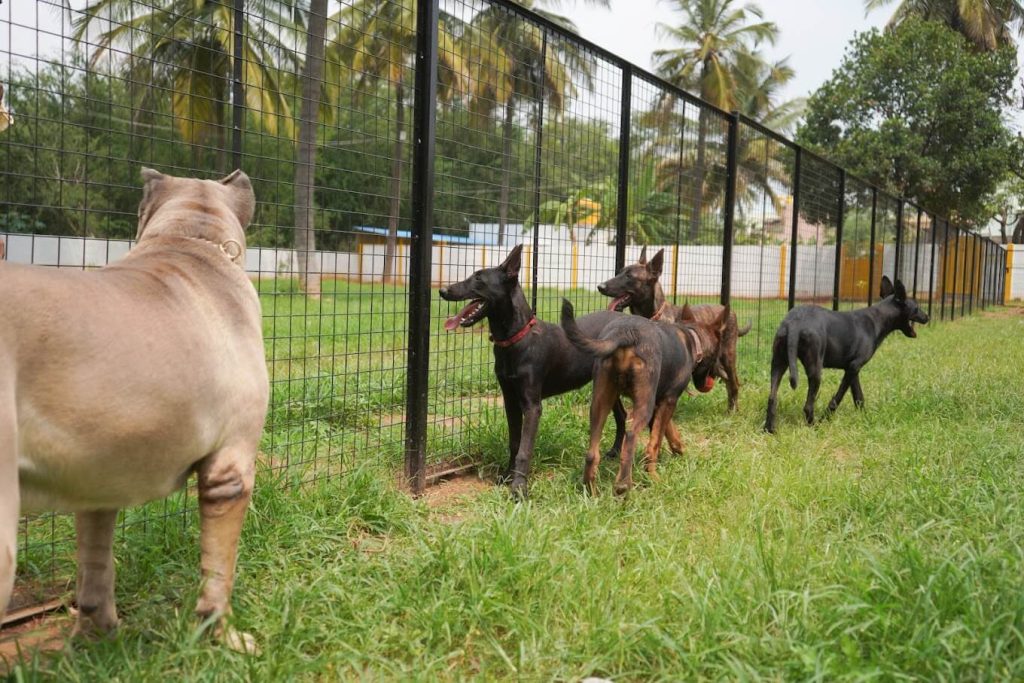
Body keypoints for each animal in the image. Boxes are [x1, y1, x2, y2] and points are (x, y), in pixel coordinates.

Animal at [0, 167, 268, 655]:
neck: (191, 239)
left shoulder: (96, 479)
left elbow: (96, 567)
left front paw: (96, 638)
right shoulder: (231, 469)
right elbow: (220, 571)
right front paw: (223, 635)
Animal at [438, 245, 622, 497]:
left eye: (478, 279)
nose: (442, 290)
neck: (515, 339)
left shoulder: (532, 406)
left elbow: (525, 449)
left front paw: (519, 488)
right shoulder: (510, 401)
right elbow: (515, 443)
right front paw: (507, 476)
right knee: (622, 416)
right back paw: (615, 453)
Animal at [598, 248, 753, 413]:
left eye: (629, 276)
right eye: (620, 272)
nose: (600, 286)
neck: (652, 316)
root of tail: (730, 311)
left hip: (728, 357)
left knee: (734, 383)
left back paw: (732, 411)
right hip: (717, 364)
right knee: (729, 381)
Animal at [765, 276, 933, 432]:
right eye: (917, 307)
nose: (928, 317)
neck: (877, 319)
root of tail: (794, 323)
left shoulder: (852, 370)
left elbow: (859, 397)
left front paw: (864, 417)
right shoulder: (853, 367)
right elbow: (837, 398)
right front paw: (826, 418)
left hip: (779, 363)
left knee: (772, 398)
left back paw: (769, 429)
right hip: (815, 370)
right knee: (807, 406)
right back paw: (814, 426)